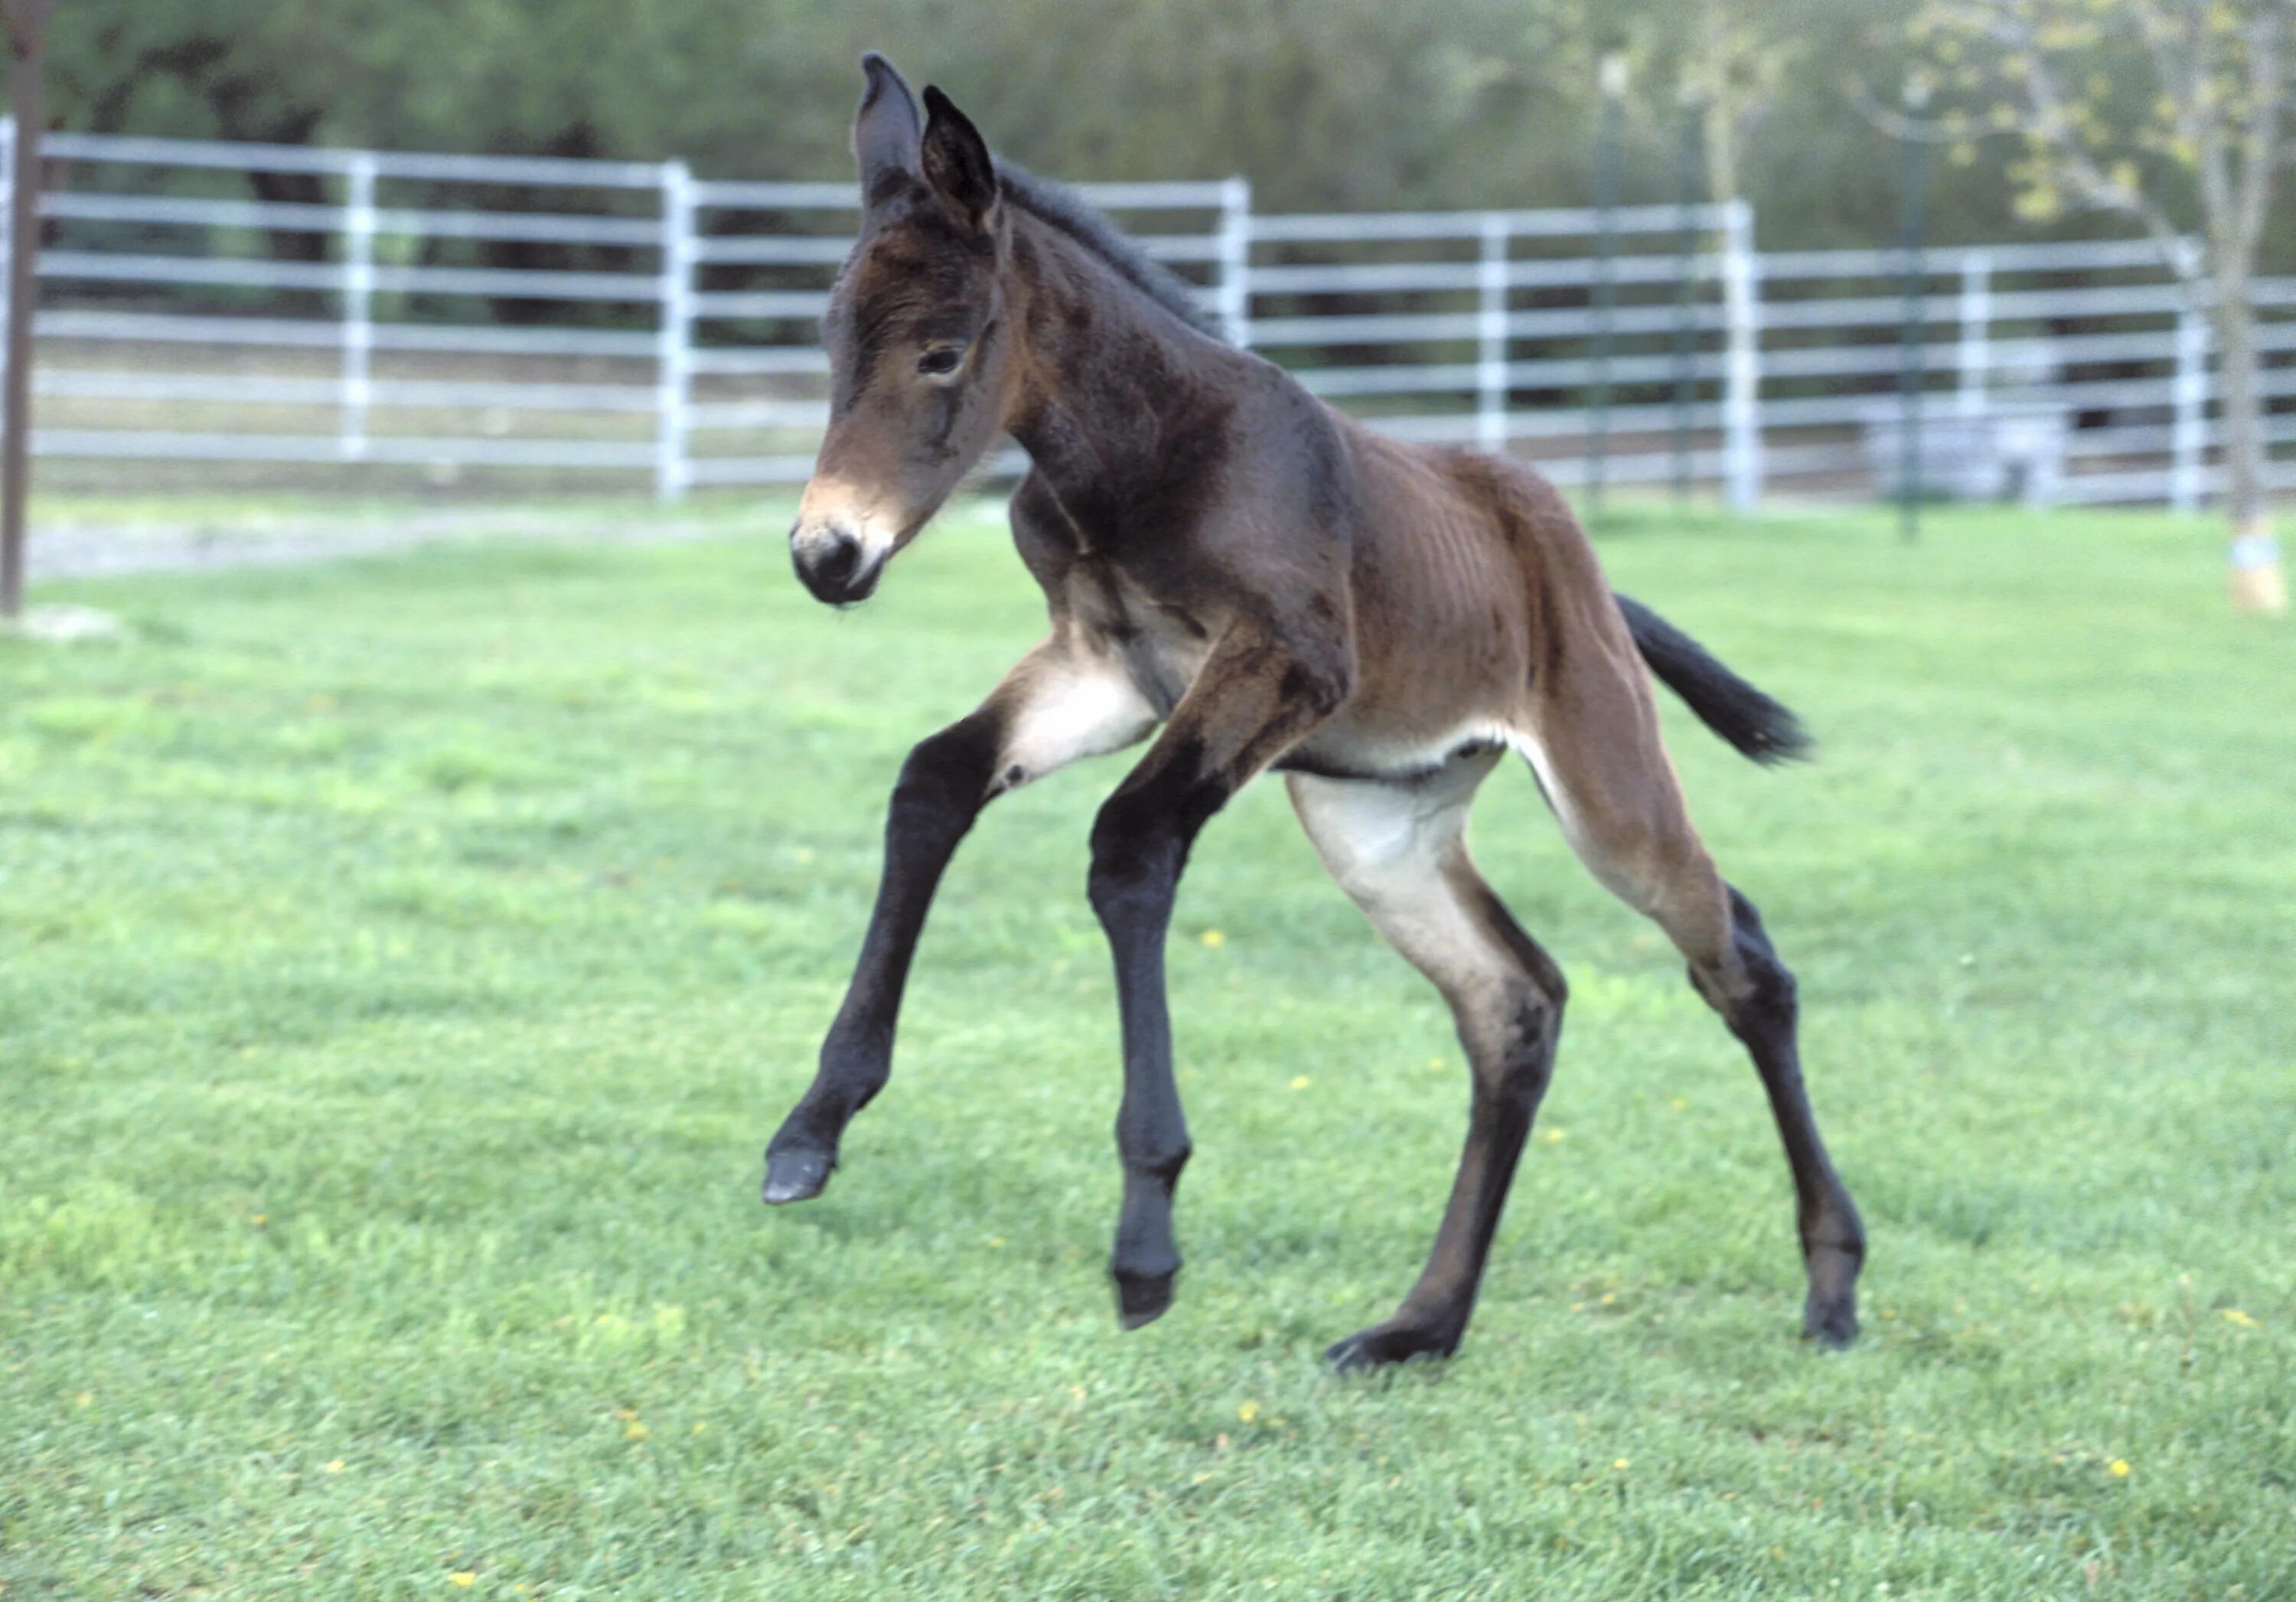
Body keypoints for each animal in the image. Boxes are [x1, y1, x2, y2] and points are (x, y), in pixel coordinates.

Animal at [762, 56, 1855, 1368]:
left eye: (942, 352)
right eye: (831, 343)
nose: (829, 554)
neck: (1144, 456)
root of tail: (1568, 555)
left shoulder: (1285, 665)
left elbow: (1130, 846)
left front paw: (1146, 1246)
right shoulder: (1105, 668)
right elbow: (934, 781)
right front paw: (810, 1131)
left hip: (1607, 788)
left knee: (1740, 961)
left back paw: (1833, 1287)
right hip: (1377, 824)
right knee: (1514, 1003)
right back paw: (1420, 1328)